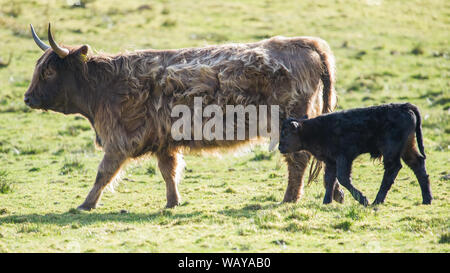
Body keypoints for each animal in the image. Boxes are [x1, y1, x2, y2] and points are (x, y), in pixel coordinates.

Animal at [23, 23, 344, 210]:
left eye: (48, 71)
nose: (27, 97)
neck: (102, 87)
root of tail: (308, 42)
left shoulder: (119, 141)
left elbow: (104, 173)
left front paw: (85, 204)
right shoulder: (164, 142)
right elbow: (169, 172)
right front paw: (172, 203)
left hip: (290, 124)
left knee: (298, 160)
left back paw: (289, 198)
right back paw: (335, 195)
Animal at [278, 103, 432, 205]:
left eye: (285, 132)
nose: (279, 147)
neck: (313, 129)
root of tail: (405, 106)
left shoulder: (344, 157)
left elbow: (343, 178)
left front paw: (363, 199)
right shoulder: (331, 161)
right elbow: (330, 180)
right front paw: (326, 202)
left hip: (391, 151)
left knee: (393, 168)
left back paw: (376, 201)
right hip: (407, 148)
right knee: (417, 164)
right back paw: (427, 199)